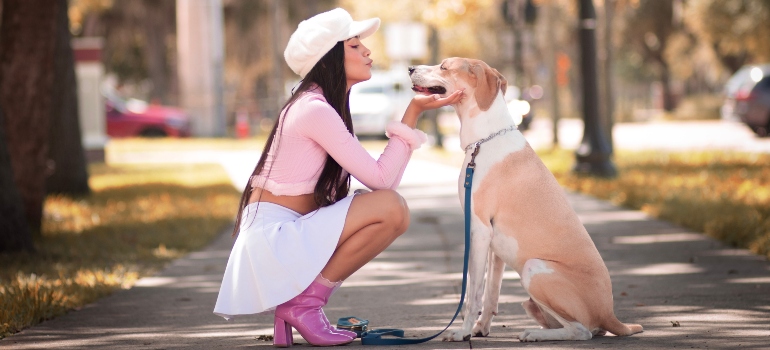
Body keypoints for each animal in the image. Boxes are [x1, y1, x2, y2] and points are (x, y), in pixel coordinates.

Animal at [408, 58, 640, 342]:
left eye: (444, 66)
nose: (409, 69)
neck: (483, 141)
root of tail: (610, 314)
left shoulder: (479, 230)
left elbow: (473, 294)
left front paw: (462, 332)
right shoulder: (494, 245)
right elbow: (490, 293)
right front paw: (480, 329)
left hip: (533, 269)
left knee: (582, 331)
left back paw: (534, 334)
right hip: (531, 300)